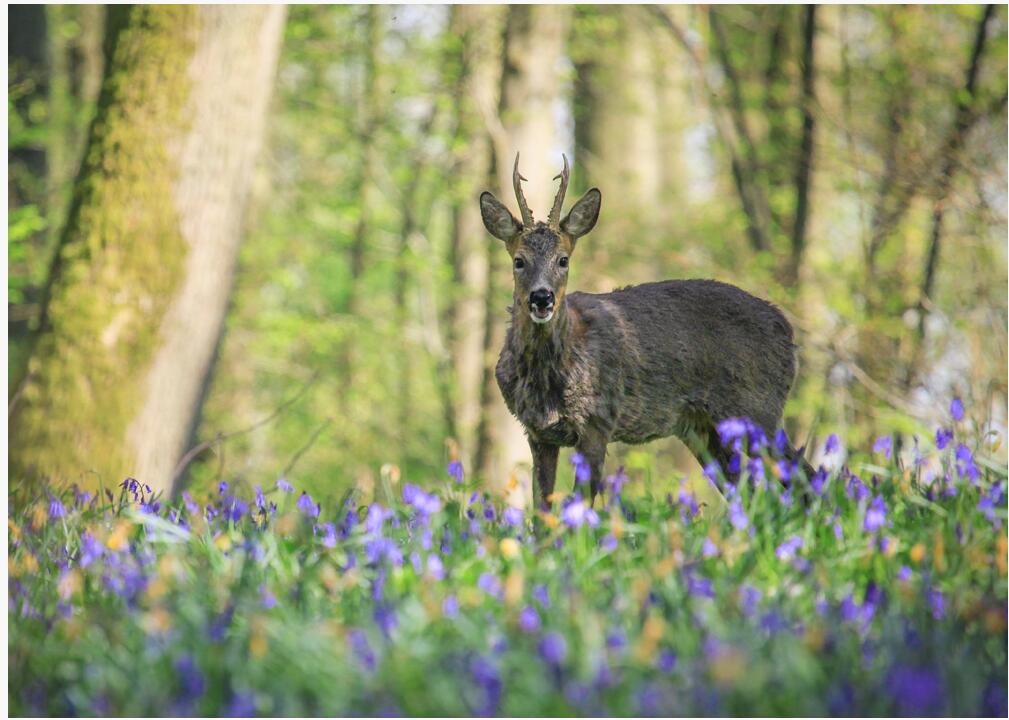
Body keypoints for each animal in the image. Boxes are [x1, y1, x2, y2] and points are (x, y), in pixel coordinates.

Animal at [480, 154, 811, 508]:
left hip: (759, 412)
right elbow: (541, 509)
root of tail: (788, 333)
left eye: (563, 259)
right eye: (519, 260)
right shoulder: (538, 432)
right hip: (701, 428)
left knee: (808, 478)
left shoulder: (598, 420)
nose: (542, 298)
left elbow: (580, 506)